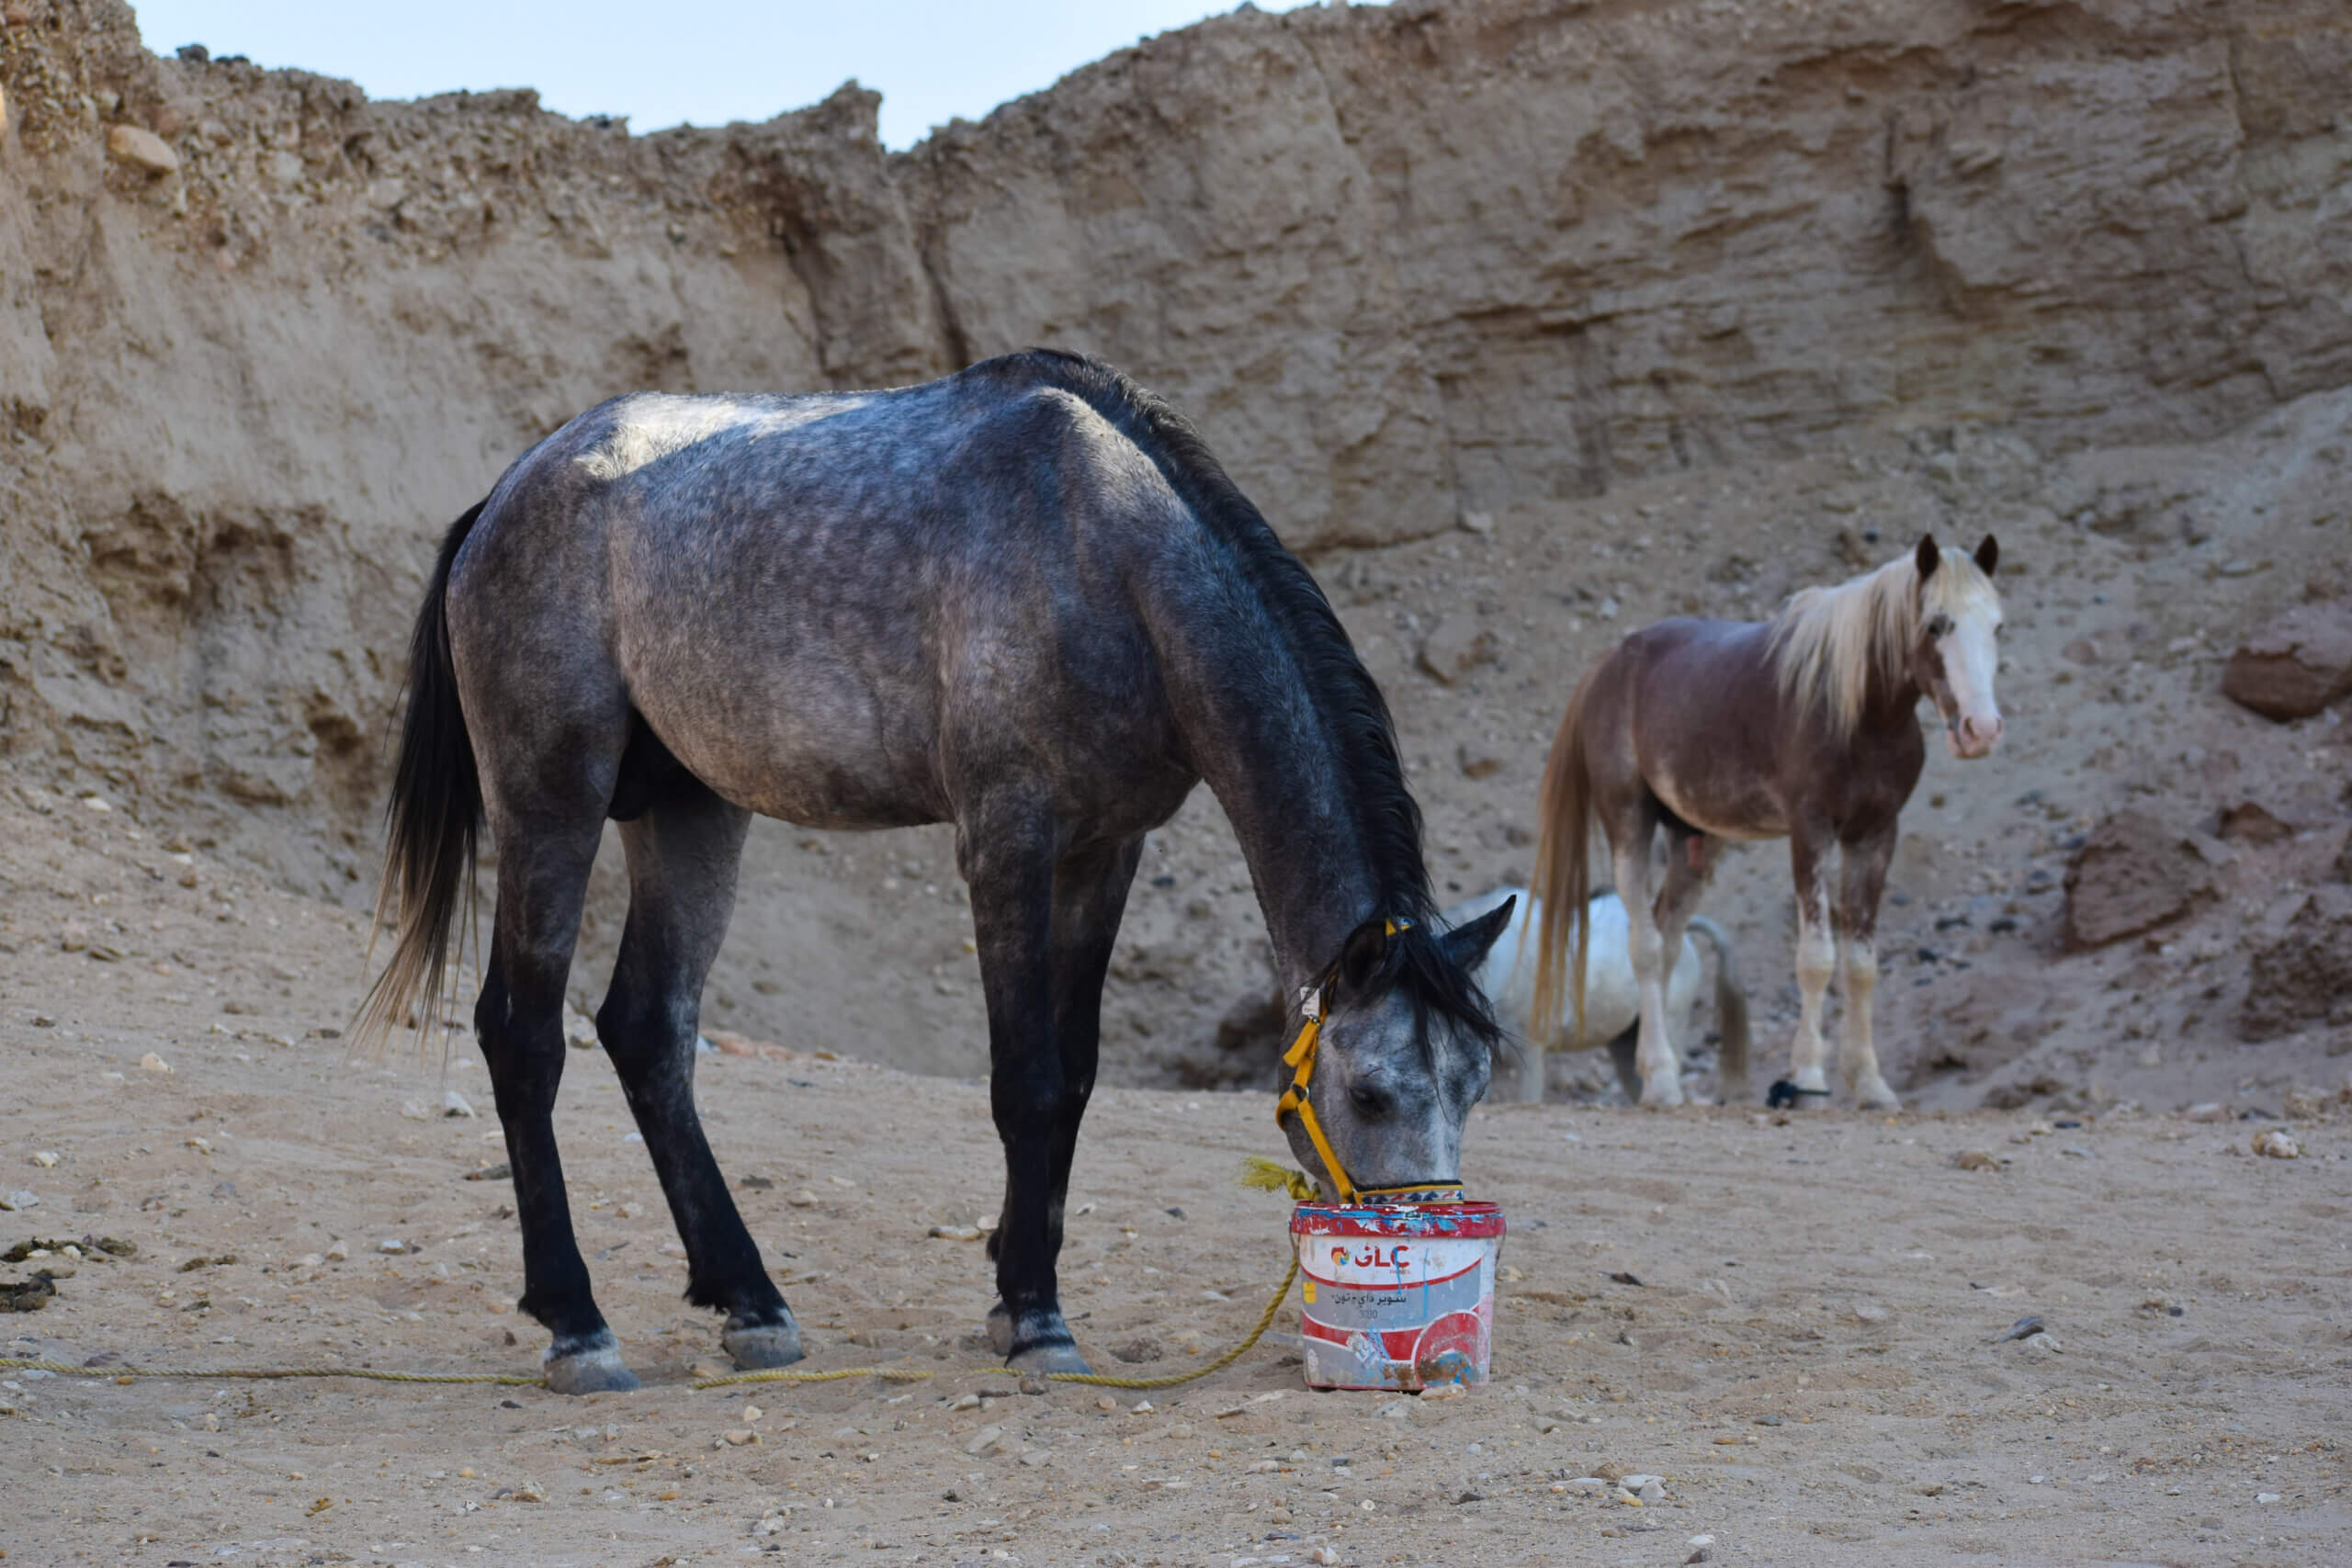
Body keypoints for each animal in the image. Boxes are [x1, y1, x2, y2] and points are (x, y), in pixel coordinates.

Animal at [364, 350, 1505, 1392]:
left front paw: (1014, 1286)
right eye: (1369, 1094)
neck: (1103, 556)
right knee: (521, 1034)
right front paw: (1037, 1320)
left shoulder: (1107, 849)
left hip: (690, 812)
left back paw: (751, 1304)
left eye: (1474, 1083)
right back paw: (577, 1326)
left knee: (648, 1031)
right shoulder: (1006, 839)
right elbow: (1025, 1080)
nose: (1425, 1229)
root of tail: (505, 498)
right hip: (550, 802)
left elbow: (1074, 1075)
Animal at [1523, 540, 2004, 1114]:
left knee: (1667, 939)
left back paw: (1662, 1074)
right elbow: (1817, 958)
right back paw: (1662, 1081)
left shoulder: (1875, 835)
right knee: (1644, 946)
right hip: (1628, 825)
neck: (1858, 711)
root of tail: (1607, 667)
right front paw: (1809, 1079)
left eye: (1997, 625)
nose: (1981, 730)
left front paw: (1869, 1084)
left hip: (1692, 841)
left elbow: (1861, 964)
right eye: (1935, 625)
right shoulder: (1810, 832)